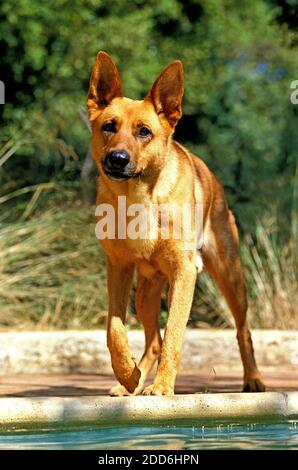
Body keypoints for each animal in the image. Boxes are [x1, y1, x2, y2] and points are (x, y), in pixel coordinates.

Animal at [86, 50, 266, 396]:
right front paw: (128, 374)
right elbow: (114, 329)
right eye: (109, 126)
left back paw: (253, 379)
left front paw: (162, 387)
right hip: (145, 294)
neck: (139, 199)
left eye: (144, 132)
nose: (117, 159)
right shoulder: (118, 267)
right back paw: (132, 384)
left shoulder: (185, 272)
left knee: (242, 331)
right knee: (152, 340)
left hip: (230, 277)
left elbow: (174, 334)